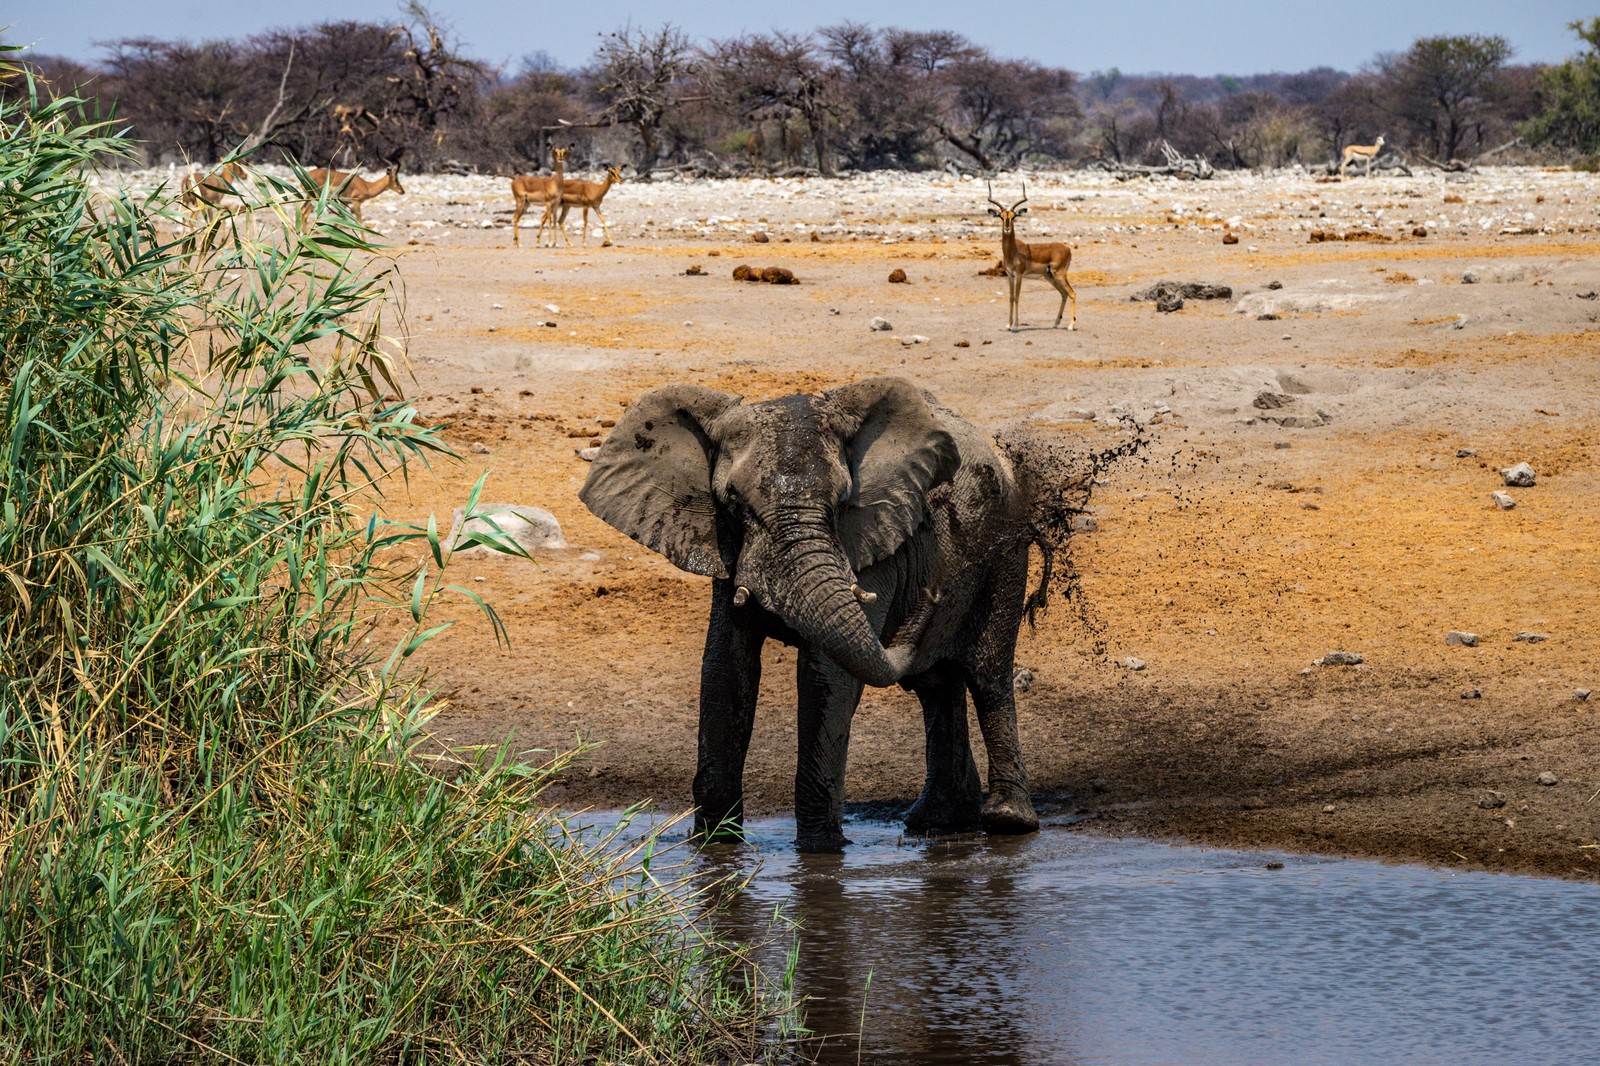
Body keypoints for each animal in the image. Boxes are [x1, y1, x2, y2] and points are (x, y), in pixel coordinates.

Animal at [582, 372, 1043, 845]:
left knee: (988, 677)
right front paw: (714, 844)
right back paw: (935, 820)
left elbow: (825, 676)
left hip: (1004, 548)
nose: (931, 592)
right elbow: (724, 668)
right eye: (733, 502)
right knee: (935, 685)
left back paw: (1007, 822)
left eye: (842, 501)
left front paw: (821, 850)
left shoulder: (870, 543)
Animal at [979, 182, 1081, 332]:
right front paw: (1008, 324)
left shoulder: (1019, 275)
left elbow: (1017, 297)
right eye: (1001, 216)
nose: (1007, 228)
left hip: (1059, 274)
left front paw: (1015, 326)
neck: (1013, 252)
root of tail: (1067, 249)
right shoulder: (1010, 275)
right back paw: (1055, 323)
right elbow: (1011, 297)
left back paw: (1071, 326)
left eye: (1014, 216)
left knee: (1072, 293)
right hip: (1050, 276)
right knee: (1064, 294)